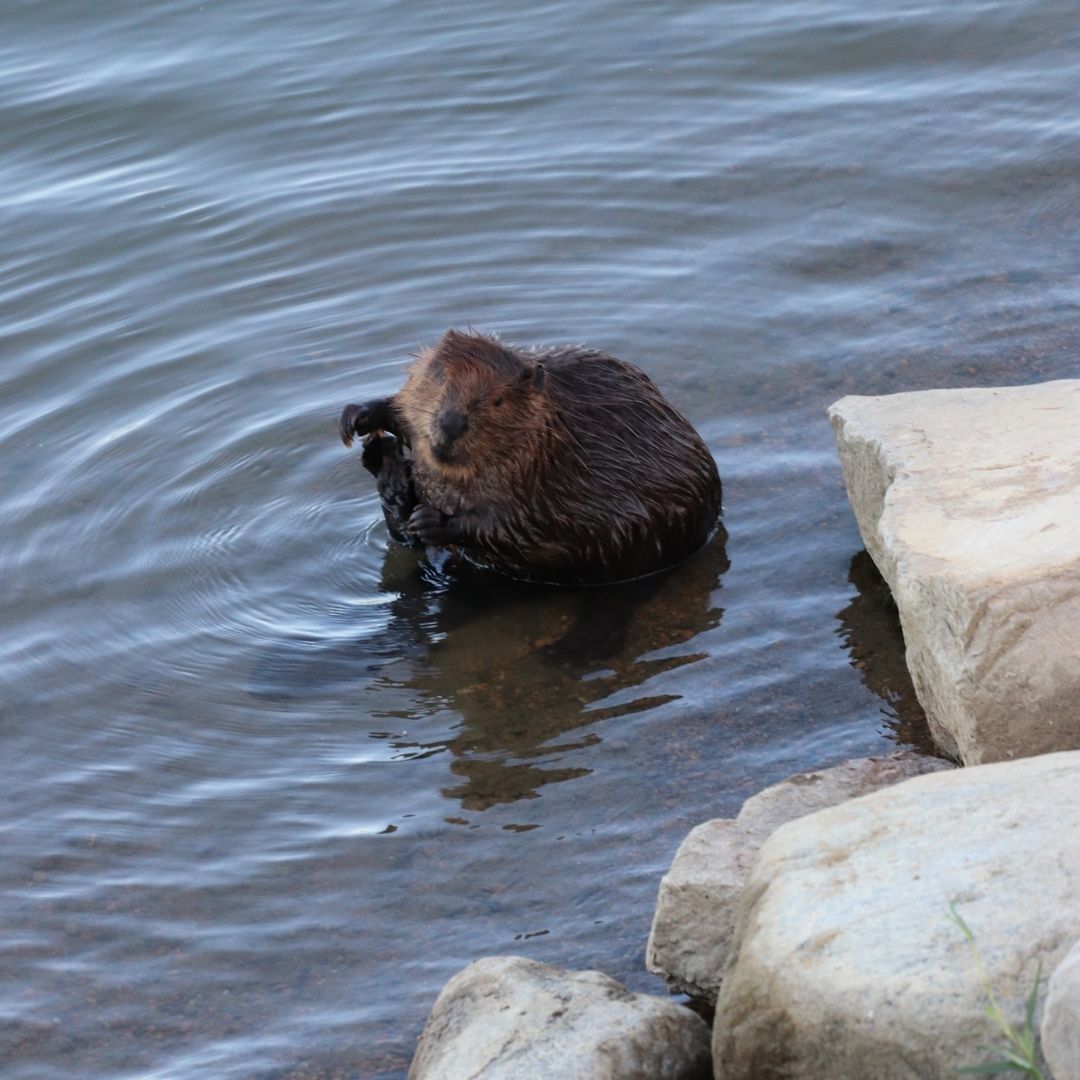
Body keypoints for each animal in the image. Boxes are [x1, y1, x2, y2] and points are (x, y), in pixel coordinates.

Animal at [341, 328, 721, 587]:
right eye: (439, 376)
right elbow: (401, 407)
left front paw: (433, 521)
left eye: (497, 400)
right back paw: (387, 468)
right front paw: (359, 416)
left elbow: (521, 525)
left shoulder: (544, 472)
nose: (451, 423)